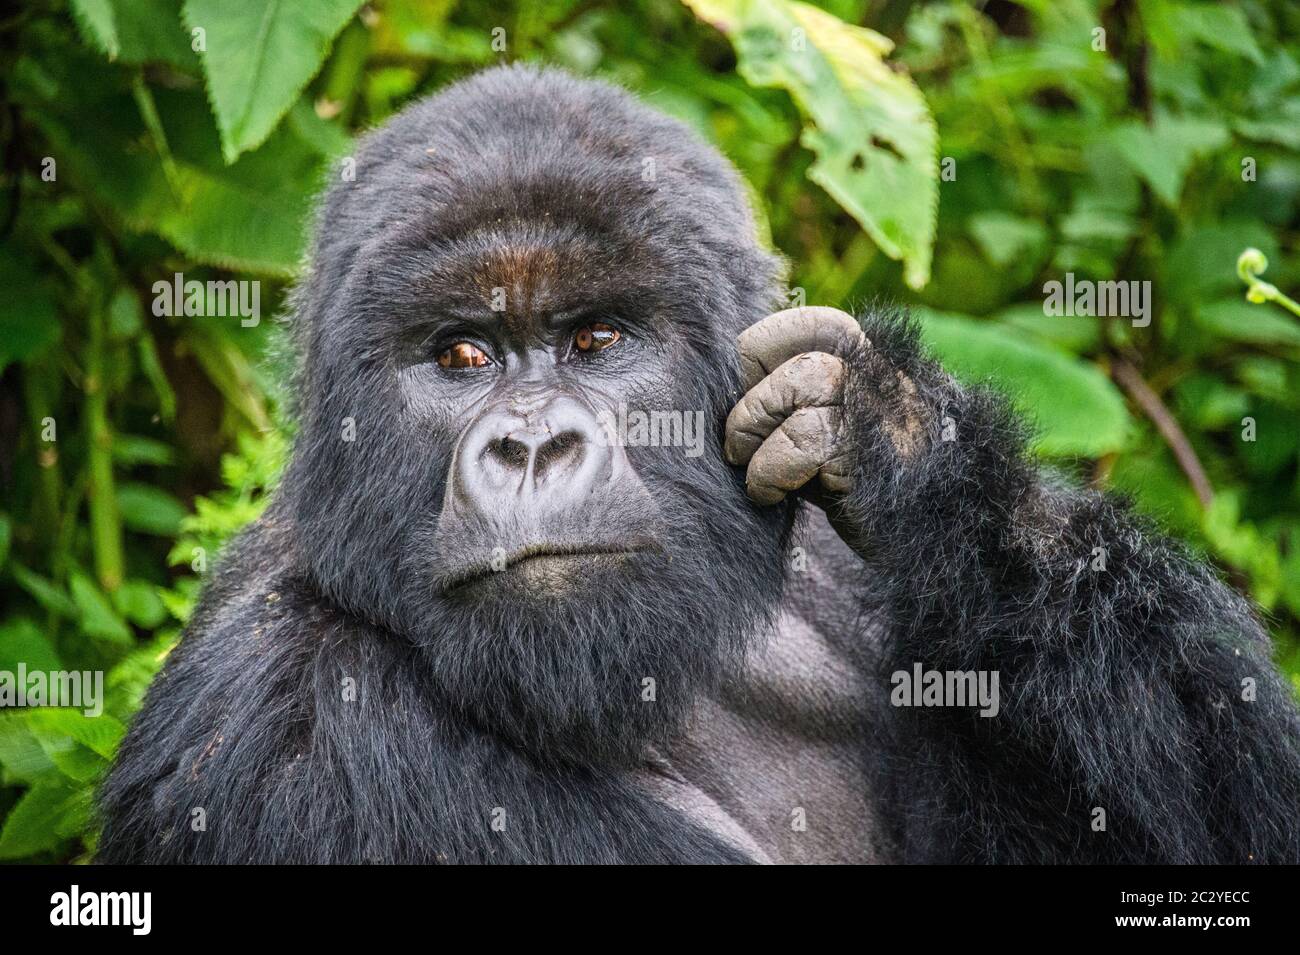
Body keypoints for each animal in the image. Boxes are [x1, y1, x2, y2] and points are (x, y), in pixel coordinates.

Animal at [98, 63, 1300, 862]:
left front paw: (903, 437)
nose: (531, 444)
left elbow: (1240, 804)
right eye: (462, 356)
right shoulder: (277, 717)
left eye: (597, 339)